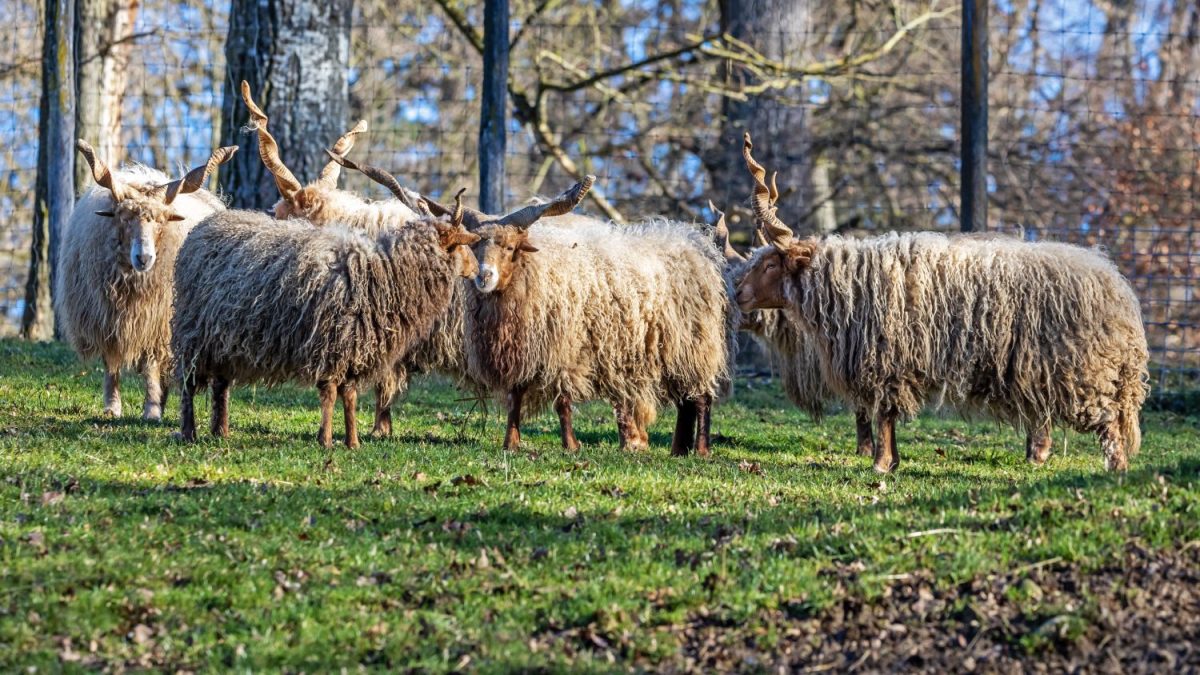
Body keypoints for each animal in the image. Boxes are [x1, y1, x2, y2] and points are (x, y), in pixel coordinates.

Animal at [54, 137, 236, 417]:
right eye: (123, 218)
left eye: (161, 221)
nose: (144, 257)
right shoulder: (108, 319)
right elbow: (111, 363)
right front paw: (112, 406)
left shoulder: (156, 322)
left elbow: (150, 366)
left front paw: (151, 409)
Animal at [171, 206, 480, 446]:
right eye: (461, 244)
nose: (478, 271)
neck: (386, 273)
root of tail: (203, 227)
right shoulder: (331, 345)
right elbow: (330, 394)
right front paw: (326, 440)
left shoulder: (353, 349)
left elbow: (350, 397)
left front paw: (353, 442)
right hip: (194, 334)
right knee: (188, 384)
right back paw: (189, 432)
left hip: (224, 340)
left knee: (221, 385)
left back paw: (220, 431)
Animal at [465, 195, 729, 456]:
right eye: (474, 247)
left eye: (510, 247)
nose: (483, 276)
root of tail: (691, 243)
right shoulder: (523, 351)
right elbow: (515, 399)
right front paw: (510, 443)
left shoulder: (564, 353)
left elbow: (562, 401)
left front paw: (570, 445)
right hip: (676, 351)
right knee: (686, 402)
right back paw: (679, 450)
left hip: (695, 346)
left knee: (701, 398)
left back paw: (701, 450)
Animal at [734, 130, 1147, 468]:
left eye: (770, 263)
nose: (737, 293)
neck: (847, 283)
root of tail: (1119, 289)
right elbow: (886, 417)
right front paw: (891, 462)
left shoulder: (885, 362)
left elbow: (883, 414)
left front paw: (880, 465)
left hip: (1086, 373)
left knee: (1109, 426)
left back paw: (1114, 471)